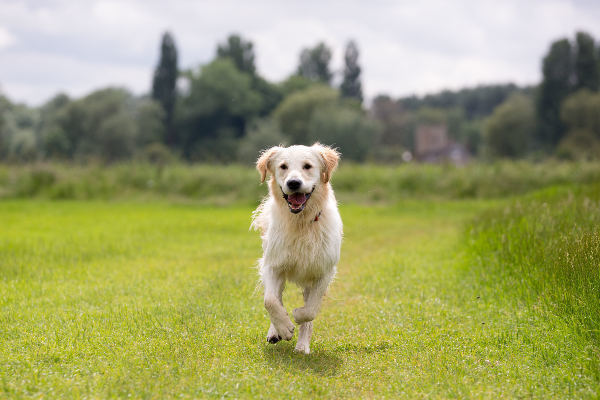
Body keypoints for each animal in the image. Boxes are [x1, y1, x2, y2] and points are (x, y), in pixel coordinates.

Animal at [250, 143, 342, 354]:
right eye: (283, 166)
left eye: (307, 166)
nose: (293, 183)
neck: (300, 223)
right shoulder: (272, 265)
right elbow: (270, 301)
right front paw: (284, 328)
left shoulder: (324, 271)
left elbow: (311, 310)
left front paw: (297, 315)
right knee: (276, 297)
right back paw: (275, 331)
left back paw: (302, 346)